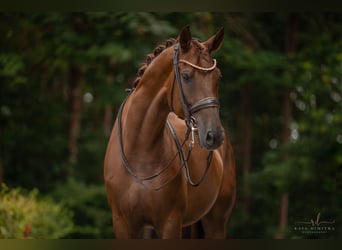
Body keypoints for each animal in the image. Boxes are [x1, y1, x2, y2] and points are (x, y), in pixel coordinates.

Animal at [104, 26, 236, 239]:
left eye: (218, 77)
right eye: (186, 76)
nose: (214, 135)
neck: (139, 152)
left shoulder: (170, 223)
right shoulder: (123, 224)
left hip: (216, 222)